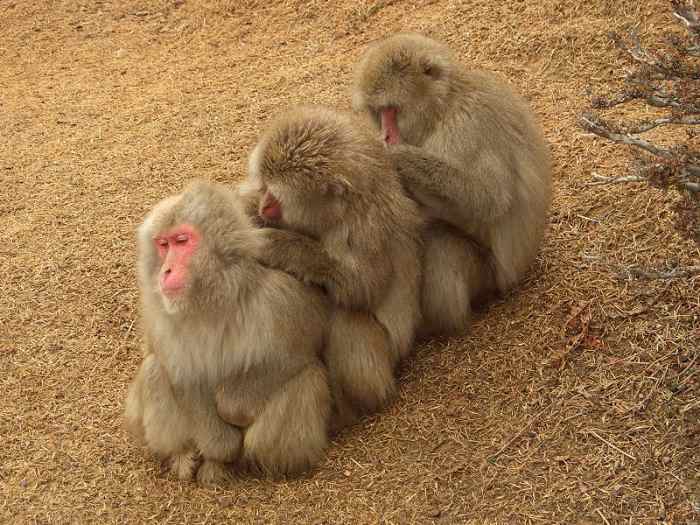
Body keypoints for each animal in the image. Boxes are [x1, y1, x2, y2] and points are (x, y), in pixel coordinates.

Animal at [123, 180, 331, 484]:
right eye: (163, 244)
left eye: (182, 241)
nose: (166, 270)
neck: (213, 296)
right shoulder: (158, 312)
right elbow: (183, 374)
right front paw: (219, 450)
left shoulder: (279, 296)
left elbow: (297, 351)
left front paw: (232, 410)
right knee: (153, 369)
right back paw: (184, 455)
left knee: (308, 377)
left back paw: (269, 466)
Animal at [237, 105, 424, 427]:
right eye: (264, 187)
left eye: (276, 197)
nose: (264, 206)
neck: (337, 212)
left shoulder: (364, 228)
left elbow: (363, 288)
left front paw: (279, 245)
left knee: (347, 317)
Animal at [351, 33, 552, 336]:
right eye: (377, 112)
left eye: (391, 111)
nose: (385, 134)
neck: (443, 106)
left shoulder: (467, 125)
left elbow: (489, 198)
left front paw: (399, 156)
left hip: (490, 278)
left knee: (442, 244)